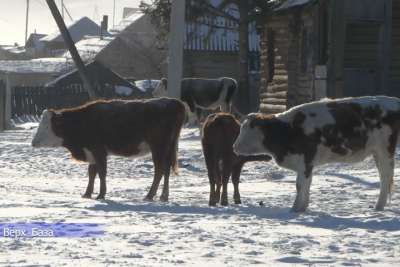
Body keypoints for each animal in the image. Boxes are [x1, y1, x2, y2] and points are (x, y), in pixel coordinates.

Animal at [32, 98, 187, 201]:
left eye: (48, 126)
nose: (33, 142)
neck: (82, 121)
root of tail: (173, 102)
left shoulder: (98, 151)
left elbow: (101, 172)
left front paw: (101, 195)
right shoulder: (91, 152)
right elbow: (92, 172)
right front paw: (87, 194)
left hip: (158, 147)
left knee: (159, 170)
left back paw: (149, 195)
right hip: (168, 148)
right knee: (166, 169)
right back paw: (163, 196)